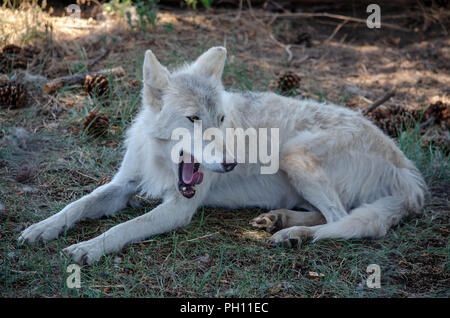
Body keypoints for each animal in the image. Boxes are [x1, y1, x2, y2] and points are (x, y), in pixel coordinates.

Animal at [17, 47, 426, 264]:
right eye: (194, 119)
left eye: (222, 119)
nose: (230, 163)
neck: (162, 161)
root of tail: (406, 168)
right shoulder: (122, 185)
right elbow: (77, 205)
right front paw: (41, 228)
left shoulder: (179, 209)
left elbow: (123, 228)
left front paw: (88, 248)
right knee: (329, 214)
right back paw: (278, 220)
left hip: (294, 154)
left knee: (343, 220)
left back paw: (292, 234)